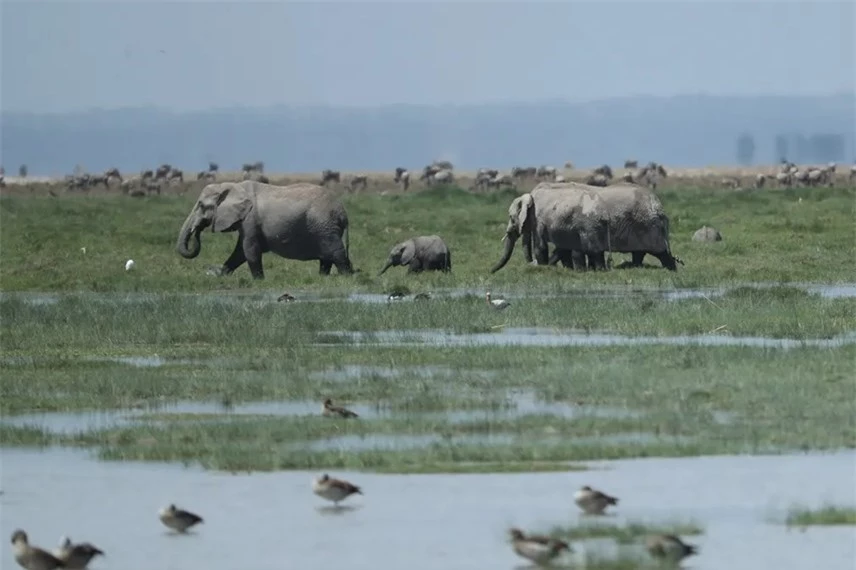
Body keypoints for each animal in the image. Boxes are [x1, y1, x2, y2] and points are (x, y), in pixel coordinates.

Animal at [177, 181, 354, 278]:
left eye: (201, 205)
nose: (196, 230)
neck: (232, 186)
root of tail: (343, 213)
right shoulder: (246, 220)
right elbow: (239, 252)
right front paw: (221, 275)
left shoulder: (250, 219)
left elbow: (249, 250)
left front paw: (259, 281)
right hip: (324, 226)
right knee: (328, 257)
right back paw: (324, 278)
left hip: (324, 225)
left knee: (336, 253)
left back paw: (346, 278)